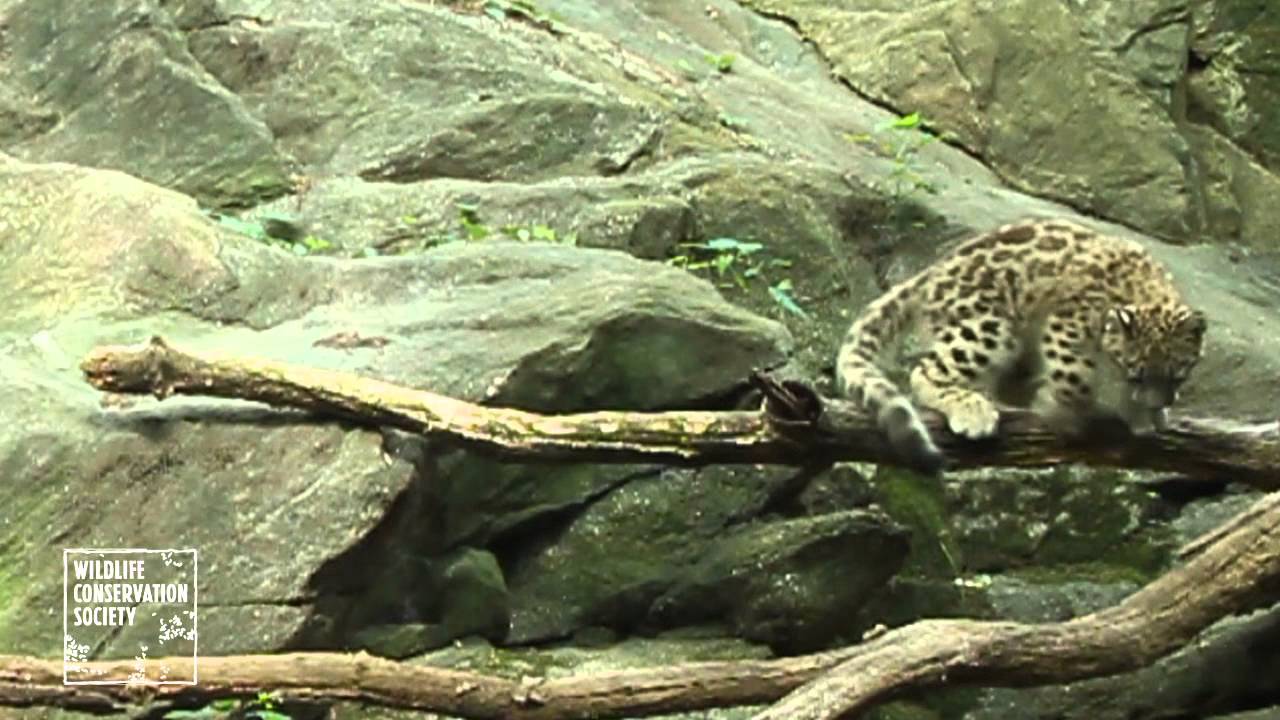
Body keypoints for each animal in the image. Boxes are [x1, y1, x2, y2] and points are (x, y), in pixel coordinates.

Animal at [835, 218, 1207, 475]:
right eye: (1136, 372)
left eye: (1179, 373)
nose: (1159, 400)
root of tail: (930, 273)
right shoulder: (1066, 327)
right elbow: (1076, 380)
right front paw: (1062, 413)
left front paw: (1146, 416)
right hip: (989, 329)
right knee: (925, 371)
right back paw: (974, 411)